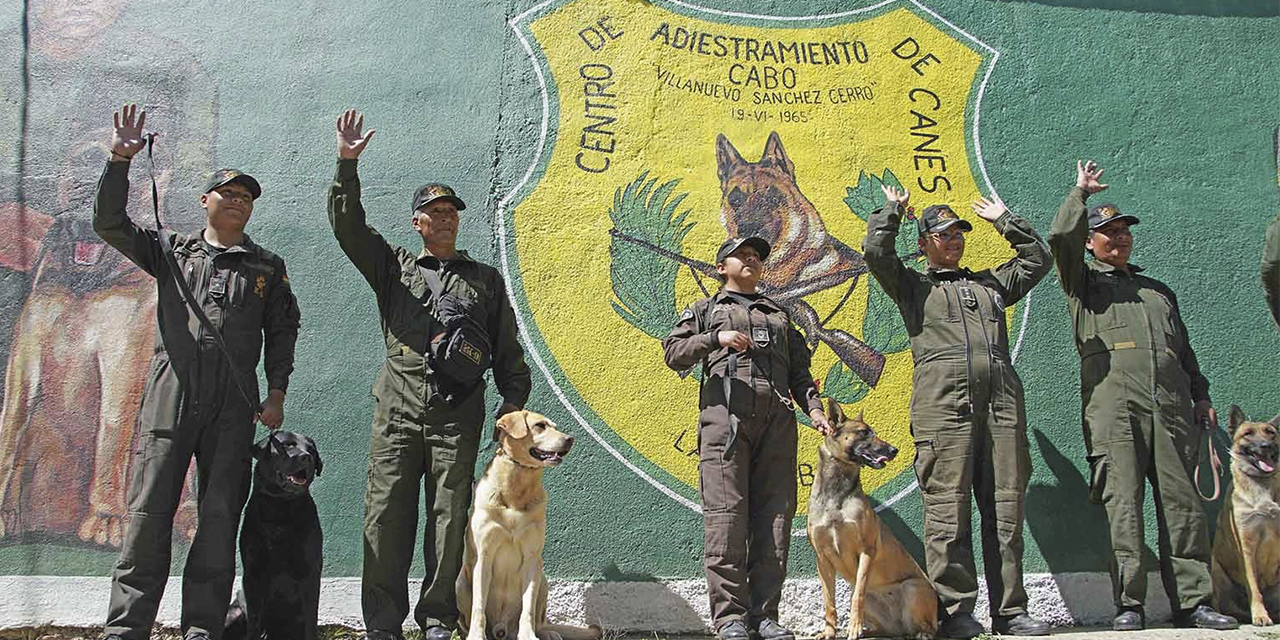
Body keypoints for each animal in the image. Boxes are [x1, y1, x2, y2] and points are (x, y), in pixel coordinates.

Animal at [225, 430, 325, 640]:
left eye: (312, 450)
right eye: (288, 445)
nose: (307, 457)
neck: (281, 508)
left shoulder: (310, 572)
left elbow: (311, 618)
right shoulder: (253, 573)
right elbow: (254, 620)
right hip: (232, 613)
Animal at [458, 409, 601, 640]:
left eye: (554, 426)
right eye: (540, 426)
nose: (570, 439)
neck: (516, 488)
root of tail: (502, 629)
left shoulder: (532, 558)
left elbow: (528, 608)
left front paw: (527, 634)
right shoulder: (484, 555)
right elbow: (478, 607)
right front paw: (476, 636)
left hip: (543, 580)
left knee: (540, 620)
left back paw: (548, 633)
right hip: (461, 581)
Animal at [808, 399, 942, 640]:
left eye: (874, 432)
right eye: (863, 433)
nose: (894, 450)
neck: (836, 492)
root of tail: (900, 627)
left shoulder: (866, 550)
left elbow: (857, 596)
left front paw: (853, 627)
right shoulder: (822, 559)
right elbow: (829, 602)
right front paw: (830, 632)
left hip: (912, 587)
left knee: (929, 628)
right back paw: (869, 631)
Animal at [1208, 404, 1280, 624]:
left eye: (1271, 433)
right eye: (1247, 434)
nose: (1266, 446)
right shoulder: (1246, 545)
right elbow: (1253, 586)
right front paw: (1260, 615)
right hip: (1215, 569)